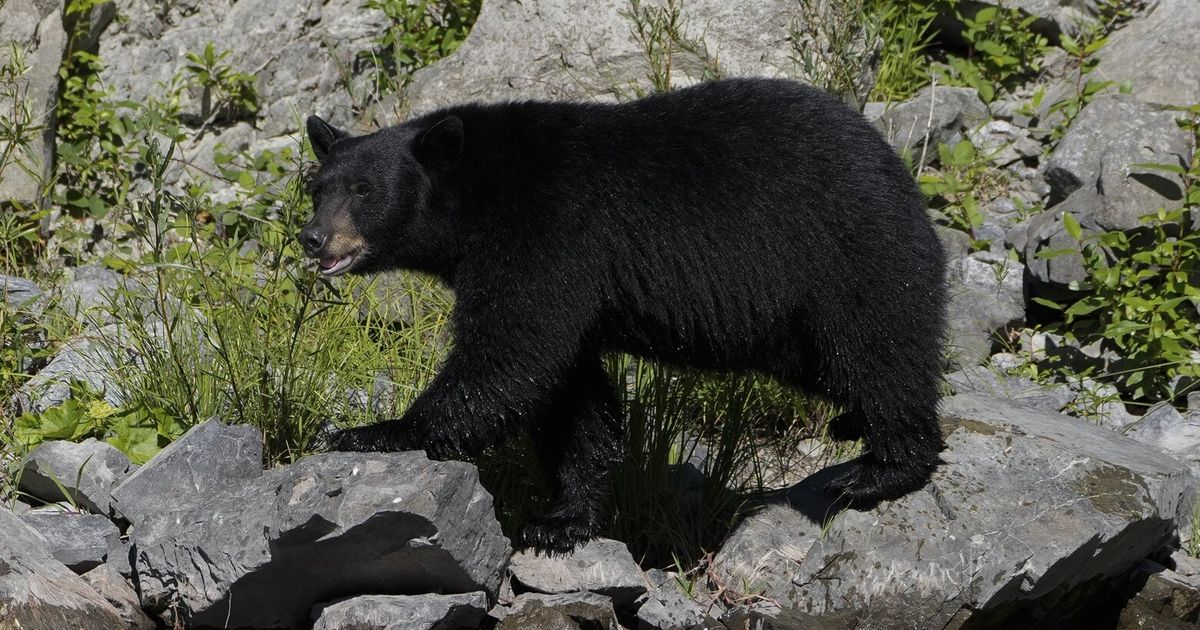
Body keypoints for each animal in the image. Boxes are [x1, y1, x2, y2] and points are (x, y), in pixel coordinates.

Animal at [299, 77, 947, 554]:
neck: (477, 195)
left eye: (363, 190)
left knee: (878, 348)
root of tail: (896, 165)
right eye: (318, 187)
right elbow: (571, 395)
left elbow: (510, 353)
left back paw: (881, 469)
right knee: (837, 365)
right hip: (792, 327)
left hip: (844, 250)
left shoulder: (547, 234)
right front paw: (562, 520)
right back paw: (852, 424)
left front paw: (374, 432)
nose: (312, 238)